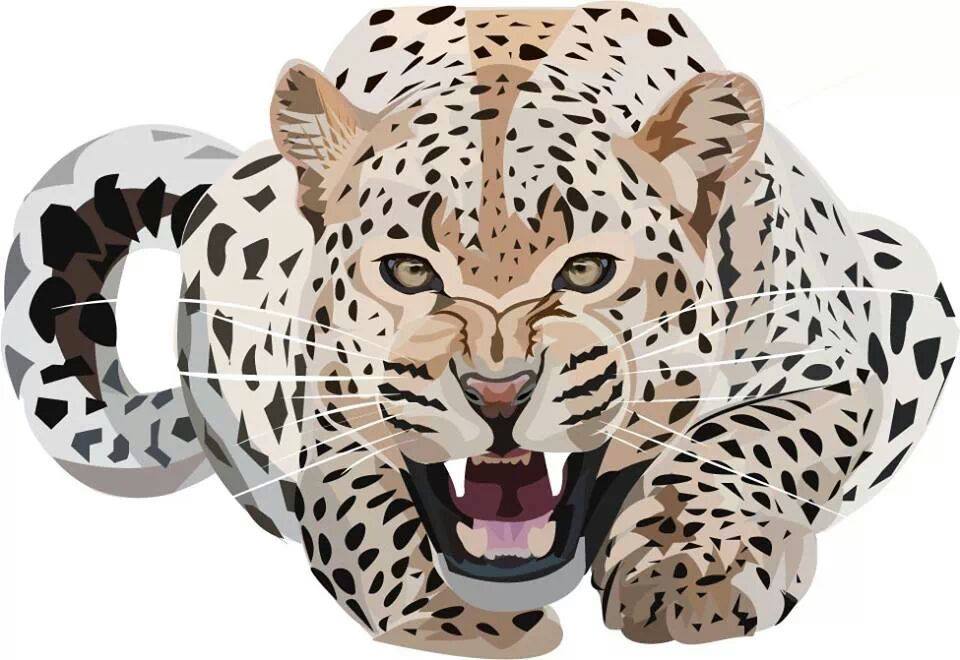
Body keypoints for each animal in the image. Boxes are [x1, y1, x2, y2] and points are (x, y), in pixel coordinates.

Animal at [3, 3, 957, 657]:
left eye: (586, 272)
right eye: (408, 273)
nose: (498, 393)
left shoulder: (830, 353)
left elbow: (743, 441)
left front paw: (688, 573)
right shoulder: (312, 391)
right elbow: (356, 497)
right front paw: (449, 613)